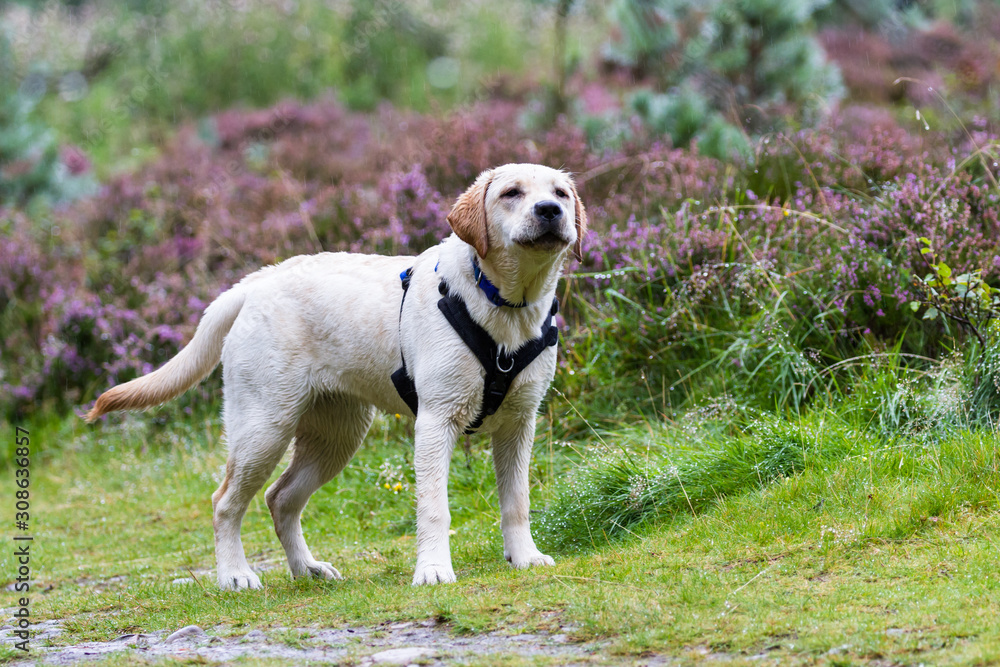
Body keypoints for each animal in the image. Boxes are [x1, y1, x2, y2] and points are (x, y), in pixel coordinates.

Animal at [88, 162, 584, 588]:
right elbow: (434, 508)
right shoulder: (436, 420)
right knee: (225, 501)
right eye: (511, 193)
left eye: (560, 193)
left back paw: (306, 569)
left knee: (280, 498)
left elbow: (517, 502)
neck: (506, 304)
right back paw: (234, 575)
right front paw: (433, 570)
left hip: (337, 435)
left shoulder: (520, 423)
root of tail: (256, 282)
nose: (550, 211)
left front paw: (524, 557)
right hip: (264, 427)